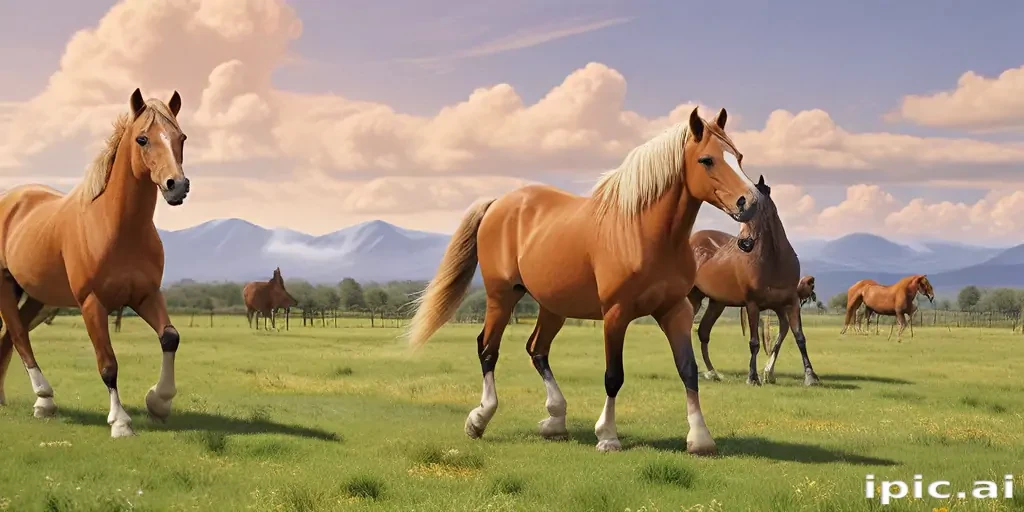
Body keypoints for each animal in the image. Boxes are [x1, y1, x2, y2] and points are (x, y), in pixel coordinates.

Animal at [0, 89, 189, 437]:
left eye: (181, 137)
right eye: (143, 139)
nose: (177, 186)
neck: (117, 228)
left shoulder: (146, 295)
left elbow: (170, 337)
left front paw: (159, 402)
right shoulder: (92, 303)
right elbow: (108, 363)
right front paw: (121, 422)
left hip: (37, 296)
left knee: (9, 338)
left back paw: (15, 400)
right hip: (6, 287)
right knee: (19, 337)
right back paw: (45, 399)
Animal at [406, 108, 765, 456]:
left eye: (738, 156)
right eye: (707, 160)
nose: (750, 202)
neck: (642, 232)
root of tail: (499, 204)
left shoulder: (675, 310)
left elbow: (688, 369)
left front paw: (700, 439)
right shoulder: (616, 314)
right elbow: (613, 375)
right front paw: (607, 437)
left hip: (553, 306)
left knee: (537, 349)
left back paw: (555, 420)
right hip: (502, 296)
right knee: (488, 349)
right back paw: (480, 419)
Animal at [687, 178, 821, 387]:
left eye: (758, 207)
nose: (745, 243)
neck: (775, 262)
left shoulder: (790, 303)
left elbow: (799, 337)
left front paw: (810, 376)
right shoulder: (752, 305)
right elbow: (754, 342)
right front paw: (753, 377)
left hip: (717, 303)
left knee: (703, 332)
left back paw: (712, 373)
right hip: (693, 297)